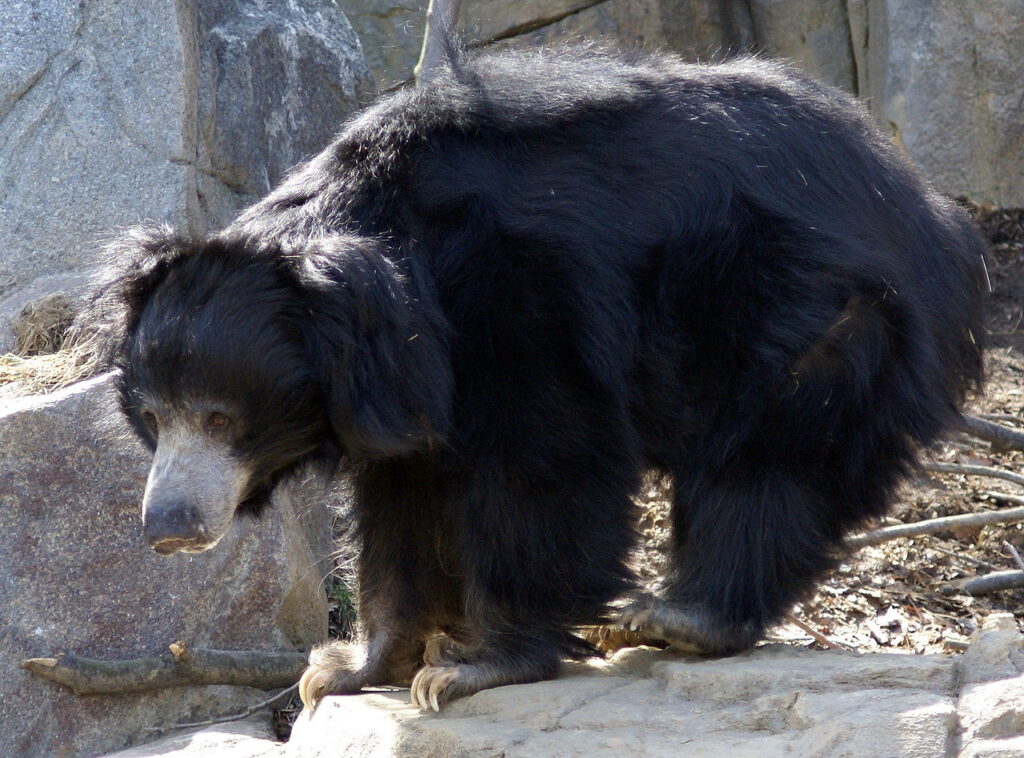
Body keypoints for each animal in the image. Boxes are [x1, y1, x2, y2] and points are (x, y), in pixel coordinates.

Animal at [87, 45, 986, 711]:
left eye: (220, 416)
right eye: (153, 416)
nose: (167, 527)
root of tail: (927, 206)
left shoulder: (521, 303)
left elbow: (541, 463)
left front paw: (470, 667)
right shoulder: (400, 395)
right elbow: (401, 508)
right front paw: (346, 668)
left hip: (806, 307)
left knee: (770, 460)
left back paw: (675, 616)